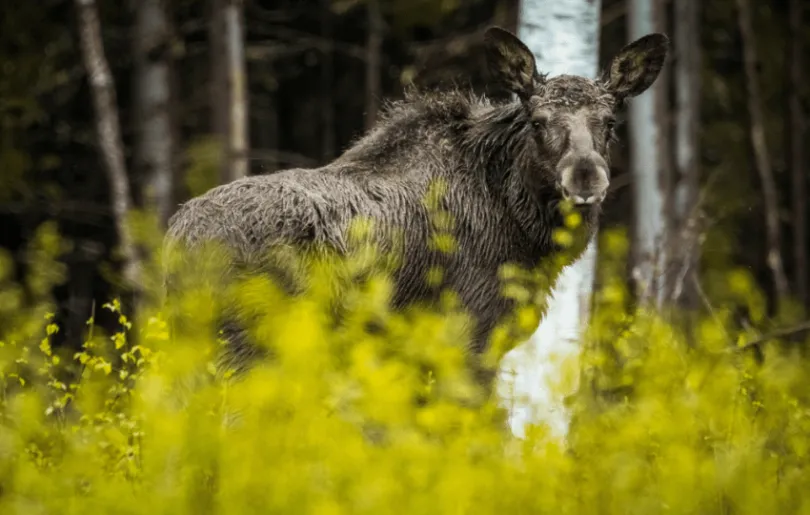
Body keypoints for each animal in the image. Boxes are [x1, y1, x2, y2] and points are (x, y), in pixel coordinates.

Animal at [161, 25, 664, 392]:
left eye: (610, 122)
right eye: (538, 122)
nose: (586, 177)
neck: (524, 231)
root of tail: (175, 241)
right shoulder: (469, 337)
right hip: (246, 347)